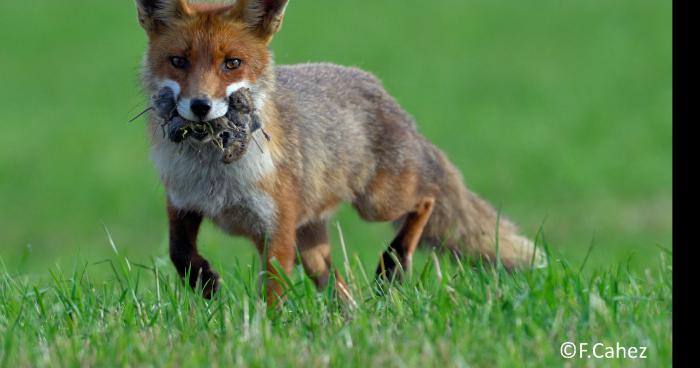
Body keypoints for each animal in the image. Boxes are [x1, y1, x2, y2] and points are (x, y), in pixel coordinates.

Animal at [133, 0, 548, 304]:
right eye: (178, 61)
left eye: (231, 63)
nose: (200, 106)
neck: (216, 177)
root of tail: (376, 86)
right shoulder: (183, 203)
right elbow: (179, 253)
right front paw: (206, 284)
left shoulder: (276, 230)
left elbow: (273, 293)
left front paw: (267, 333)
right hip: (312, 244)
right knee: (340, 289)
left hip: (377, 203)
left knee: (426, 198)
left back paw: (393, 264)